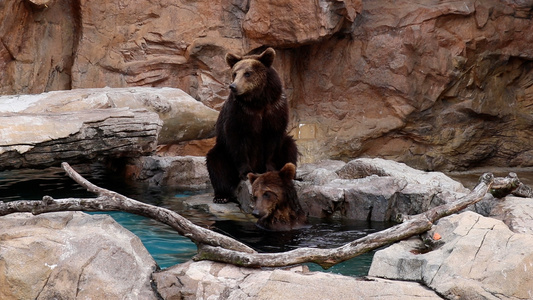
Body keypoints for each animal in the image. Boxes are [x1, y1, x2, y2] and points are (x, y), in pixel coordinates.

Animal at [205, 47, 298, 204]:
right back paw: (222, 195)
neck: (257, 102)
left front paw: (270, 168)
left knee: (290, 147)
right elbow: (237, 141)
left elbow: (273, 141)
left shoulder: (274, 109)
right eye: (235, 73)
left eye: (247, 73)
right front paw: (246, 171)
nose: (233, 86)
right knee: (216, 162)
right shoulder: (240, 112)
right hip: (223, 152)